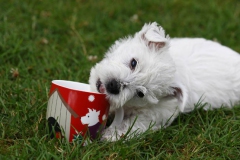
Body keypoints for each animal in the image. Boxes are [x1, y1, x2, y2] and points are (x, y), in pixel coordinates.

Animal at [88, 21, 240, 141]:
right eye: (133, 63)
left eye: (140, 93)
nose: (113, 85)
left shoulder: (156, 114)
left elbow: (132, 124)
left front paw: (110, 135)